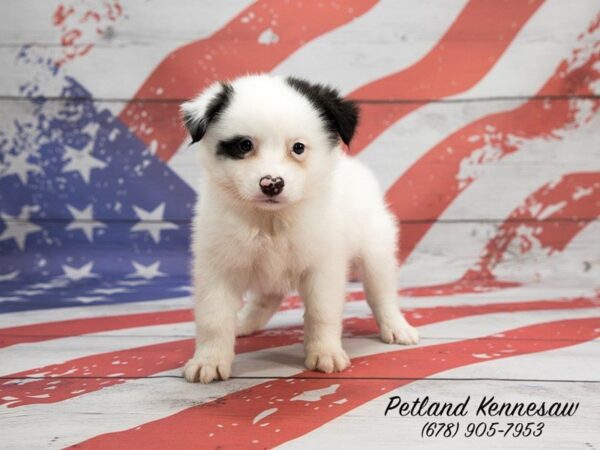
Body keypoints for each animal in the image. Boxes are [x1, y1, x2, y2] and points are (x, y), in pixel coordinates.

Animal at [180, 74, 420, 384]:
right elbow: (214, 318)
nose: (272, 183)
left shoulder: (324, 266)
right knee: (266, 298)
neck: (271, 221)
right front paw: (208, 360)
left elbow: (322, 312)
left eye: (298, 148)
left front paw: (325, 352)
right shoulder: (217, 266)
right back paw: (244, 322)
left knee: (382, 294)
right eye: (244, 145)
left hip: (376, 250)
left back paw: (396, 327)